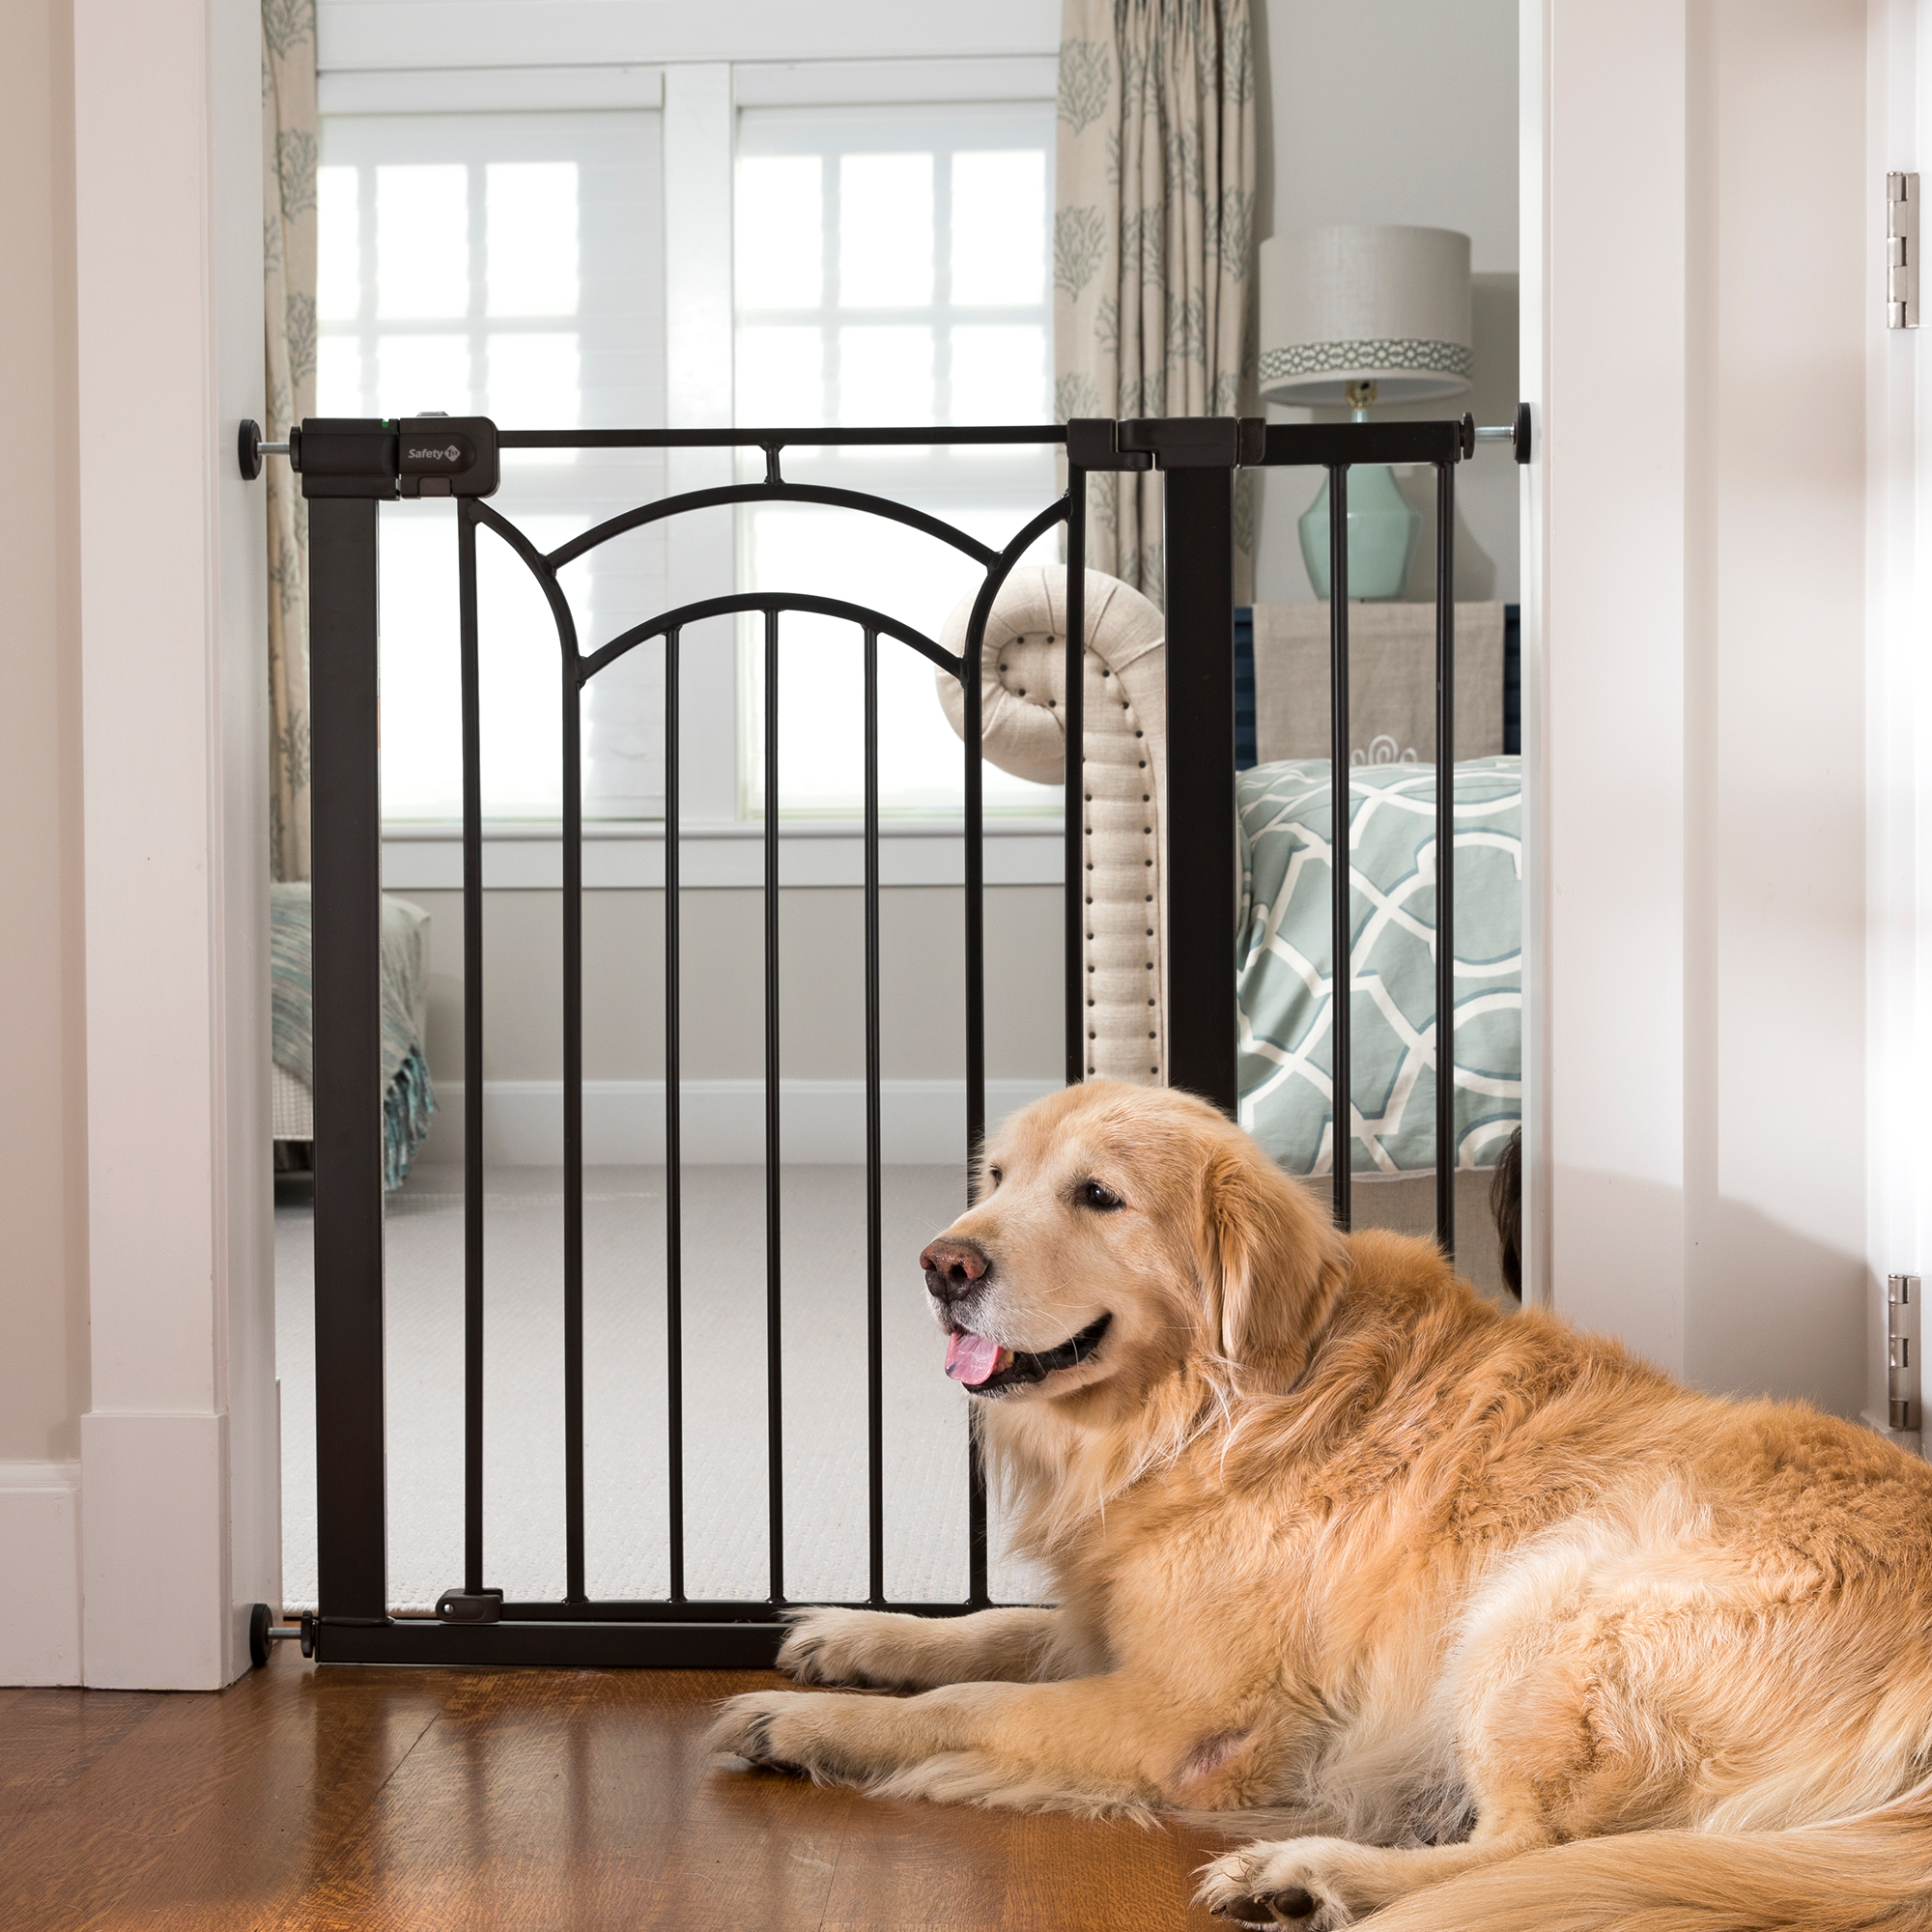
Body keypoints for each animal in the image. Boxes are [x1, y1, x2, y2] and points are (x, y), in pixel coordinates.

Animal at [707, 1082, 1932, 1924]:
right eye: (997, 1176)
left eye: (1096, 1195)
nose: (939, 1263)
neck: (1209, 1407)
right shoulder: (1118, 1617)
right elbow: (995, 1629)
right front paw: (854, 1635)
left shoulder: (1182, 1716)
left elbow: (973, 1701)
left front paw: (799, 1722)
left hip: (1546, 1607)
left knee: (1539, 1850)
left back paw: (1309, 1872)